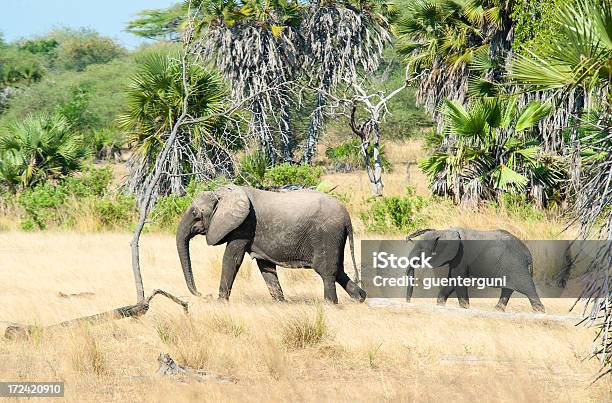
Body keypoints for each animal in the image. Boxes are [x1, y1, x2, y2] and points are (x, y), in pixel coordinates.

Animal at [175, 185, 366, 304]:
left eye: (195, 213)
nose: (203, 294)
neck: (225, 194)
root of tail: (347, 217)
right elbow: (266, 267)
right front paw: (281, 303)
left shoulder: (244, 226)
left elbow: (231, 259)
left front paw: (220, 303)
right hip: (334, 237)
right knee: (338, 270)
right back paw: (360, 298)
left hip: (327, 234)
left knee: (326, 271)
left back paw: (330, 304)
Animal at [404, 227, 544, 312]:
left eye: (421, 249)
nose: (408, 302)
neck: (443, 231)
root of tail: (529, 254)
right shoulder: (455, 258)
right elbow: (452, 281)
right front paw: (440, 306)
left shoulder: (461, 256)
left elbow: (458, 280)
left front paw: (465, 308)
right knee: (507, 289)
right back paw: (497, 310)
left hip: (516, 266)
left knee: (528, 288)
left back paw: (540, 311)